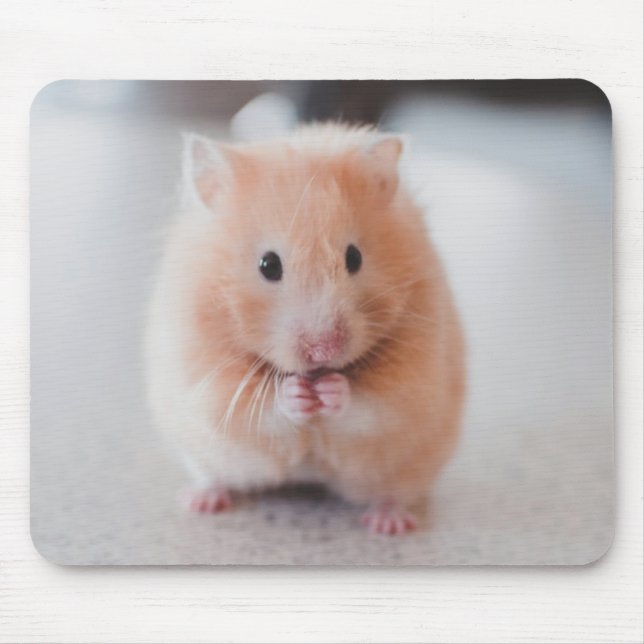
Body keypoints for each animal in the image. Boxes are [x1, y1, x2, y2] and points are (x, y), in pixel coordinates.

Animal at [145, 123, 465, 535]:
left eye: (354, 258)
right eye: (268, 265)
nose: (323, 350)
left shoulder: (414, 381)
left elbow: (371, 405)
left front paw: (331, 390)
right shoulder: (206, 377)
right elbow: (258, 408)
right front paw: (296, 394)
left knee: (393, 492)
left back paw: (388, 524)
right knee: (213, 475)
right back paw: (200, 501)